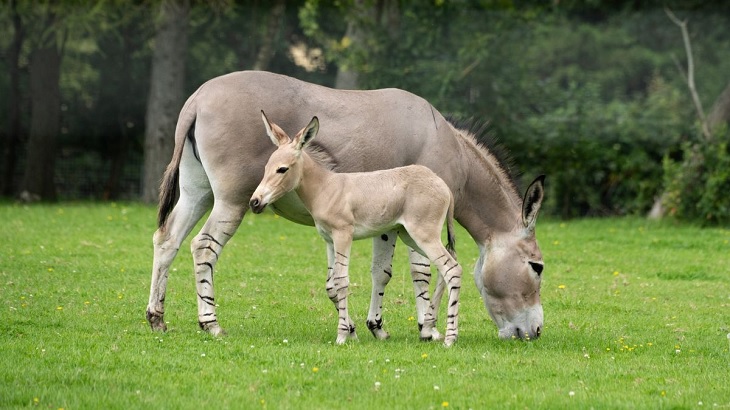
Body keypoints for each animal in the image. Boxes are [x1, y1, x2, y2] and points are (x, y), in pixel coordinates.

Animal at [250, 112, 460, 346]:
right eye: (266, 168)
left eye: (282, 169)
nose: (254, 203)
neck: (326, 188)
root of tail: (442, 184)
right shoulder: (329, 240)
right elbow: (331, 285)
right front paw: (351, 331)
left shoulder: (343, 235)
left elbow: (341, 281)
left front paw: (342, 335)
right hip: (411, 236)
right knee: (446, 267)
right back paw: (430, 328)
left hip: (424, 235)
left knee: (452, 269)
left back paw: (450, 338)